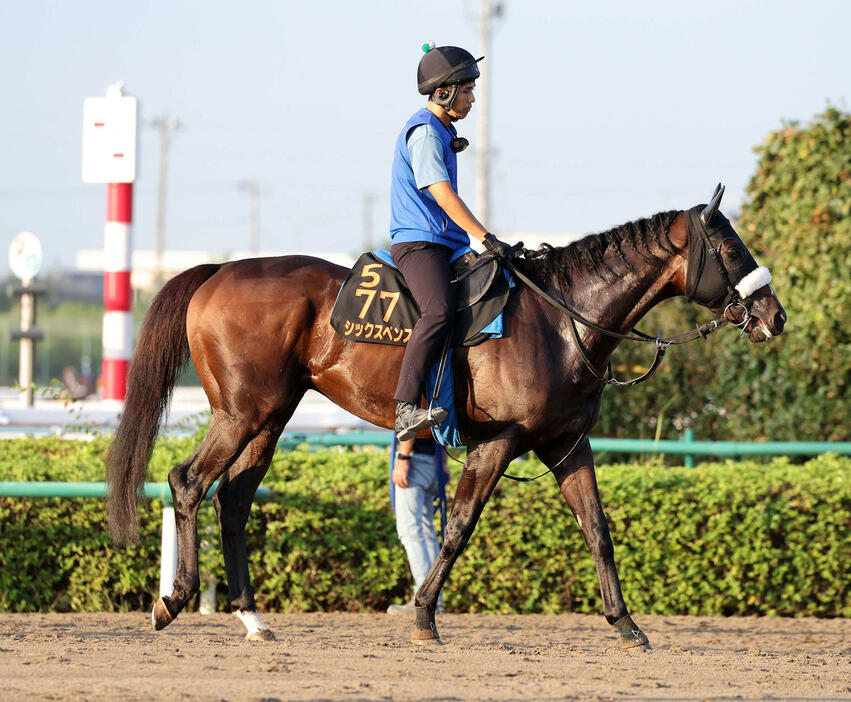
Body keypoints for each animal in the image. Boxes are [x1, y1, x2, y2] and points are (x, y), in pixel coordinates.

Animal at [106, 186, 784, 648]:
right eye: (730, 246)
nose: (775, 316)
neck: (560, 319)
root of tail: (219, 270)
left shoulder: (567, 444)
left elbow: (598, 529)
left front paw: (626, 624)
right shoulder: (497, 443)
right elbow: (457, 526)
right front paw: (425, 615)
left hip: (268, 418)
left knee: (234, 500)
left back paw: (251, 618)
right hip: (240, 413)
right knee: (189, 482)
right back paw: (172, 601)